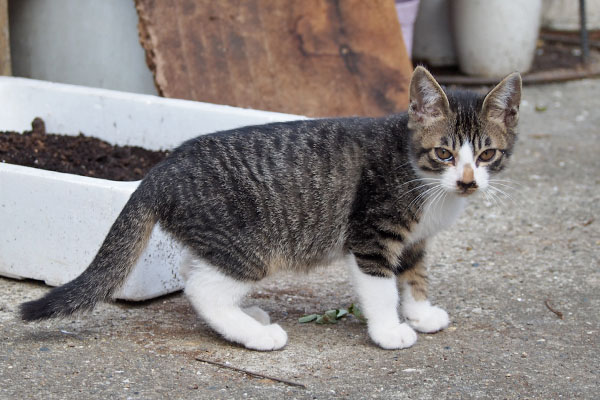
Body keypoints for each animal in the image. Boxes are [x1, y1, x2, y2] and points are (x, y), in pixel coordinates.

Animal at [21, 67, 524, 352]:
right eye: (444, 153)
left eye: (486, 155)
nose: (467, 181)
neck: (423, 178)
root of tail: (160, 169)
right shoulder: (371, 233)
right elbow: (381, 287)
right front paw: (390, 331)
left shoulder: (415, 240)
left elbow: (414, 276)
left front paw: (419, 313)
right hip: (251, 242)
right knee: (203, 288)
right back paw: (257, 335)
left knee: (192, 270)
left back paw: (248, 318)